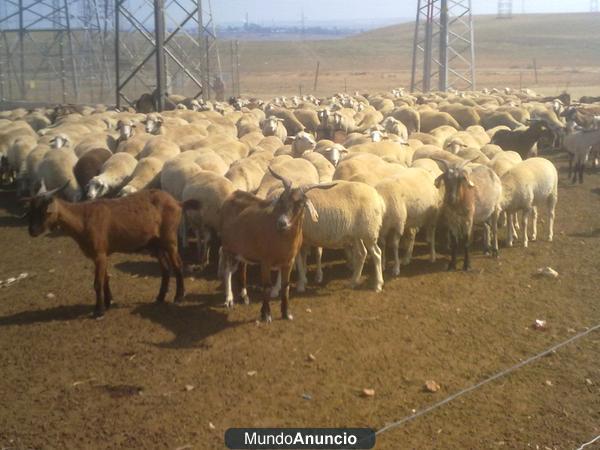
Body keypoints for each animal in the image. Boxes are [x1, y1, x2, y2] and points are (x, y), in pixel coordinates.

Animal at [25, 185, 188, 318]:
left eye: (45, 211)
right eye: (30, 210)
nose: (32, 231)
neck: (82, 219)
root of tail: (177, 202)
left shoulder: (99, 254)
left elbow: (97, 283)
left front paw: (99, 310)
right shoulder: (101, 254)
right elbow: (105, 279)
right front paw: (108, 302)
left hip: (170, 239)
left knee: (177, 266)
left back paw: (178, 297)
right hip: (156, 244)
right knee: (165, 269)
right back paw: (160, 297)